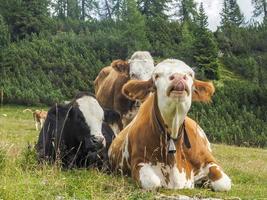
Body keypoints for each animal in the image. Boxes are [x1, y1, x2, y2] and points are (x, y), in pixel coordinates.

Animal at [109, 58, 232, 191]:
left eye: (190, 74)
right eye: (156, 75)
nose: (178, 77)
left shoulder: (208, 160)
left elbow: (223, 183)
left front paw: (207, 182)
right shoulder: (139, 161)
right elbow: (152, 182)